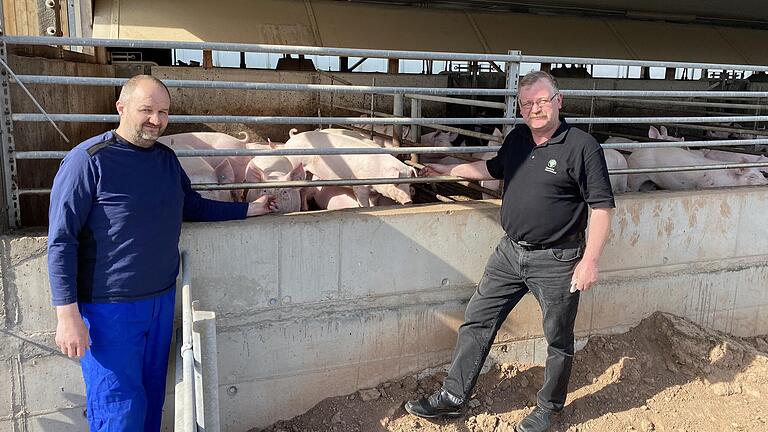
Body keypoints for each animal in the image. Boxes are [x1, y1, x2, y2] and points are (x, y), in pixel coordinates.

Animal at [284, 130, 414, 206]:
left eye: (408, 183)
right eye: (396, 183)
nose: (409, 201)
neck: (379, 171)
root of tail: (292, 138)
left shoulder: (375, 193)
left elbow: (374, 203)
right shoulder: (360, 187)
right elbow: (363, 203)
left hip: (308, 172)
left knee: (304, 190)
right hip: (294, 162)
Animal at [628, 147, 764, 191]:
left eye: (762, 175)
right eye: (752, 176)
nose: (765, 182)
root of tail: (633, 153)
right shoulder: (705, 185)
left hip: (648, 181)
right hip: (635, 177)